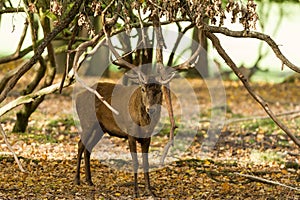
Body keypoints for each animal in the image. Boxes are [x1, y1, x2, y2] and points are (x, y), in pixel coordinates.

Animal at [73, 69, 175, 197]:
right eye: (143, 89)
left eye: (159, 90)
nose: (150, 109)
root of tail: (77, 97)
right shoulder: (130, 134)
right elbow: (135, 162)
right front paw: (136, 192)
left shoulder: (148, 138)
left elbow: (146, 163)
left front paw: (150, 191)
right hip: (87, 123)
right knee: (80, 144)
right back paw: (77, 180)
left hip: (100, 129)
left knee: (88, 148)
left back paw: (89, 181)